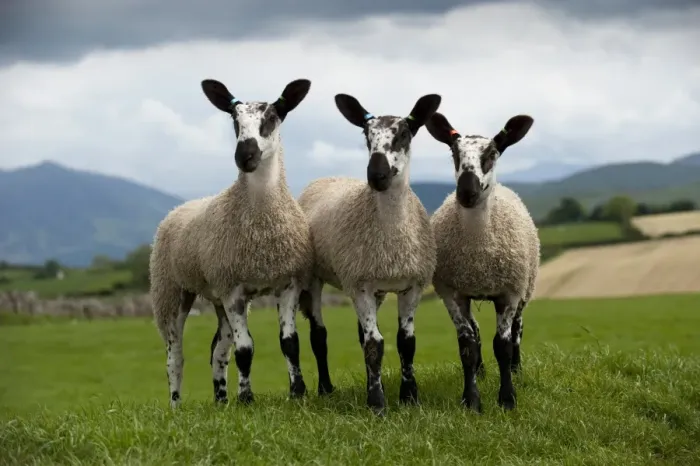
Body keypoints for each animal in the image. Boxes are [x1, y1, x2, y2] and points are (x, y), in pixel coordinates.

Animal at [149, 77, 314, 408]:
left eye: (271, 117)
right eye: (234, 120)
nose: (244, 156)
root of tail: (180, 207)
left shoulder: (287, 282)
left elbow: (289, 343)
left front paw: (297, 393)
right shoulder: (234, 290)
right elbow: (246, 349)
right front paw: (247, 398)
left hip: (216, 295)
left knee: (218, 350)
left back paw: (221, 400)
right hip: (171, 290)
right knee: (175, 356)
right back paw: (176, 406)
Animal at [297, 92, 441, 414]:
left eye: (404, 134)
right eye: (366, 136)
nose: (376, 174)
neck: (392, 234)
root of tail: (328, 177)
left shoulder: (411, 285)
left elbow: (406, 342)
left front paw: (409, 398)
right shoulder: (360, 284)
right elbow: (375, 345)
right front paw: (377, 404)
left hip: (376, 288)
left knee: (361, 335)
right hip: (316, 276)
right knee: (319, 335)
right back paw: (325, 388)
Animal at [424, 111, 540, 412]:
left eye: (492, 153)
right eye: (454, 153)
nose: (467, 192)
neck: (478, 253)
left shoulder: (509, 293)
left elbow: (503, 345)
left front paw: (507, 399)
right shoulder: (452, 293)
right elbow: (468, 346)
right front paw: (471, 400)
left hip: (525, 287)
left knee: (518, 329)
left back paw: (516, 370)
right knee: (475, 332)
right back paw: (481, 372)